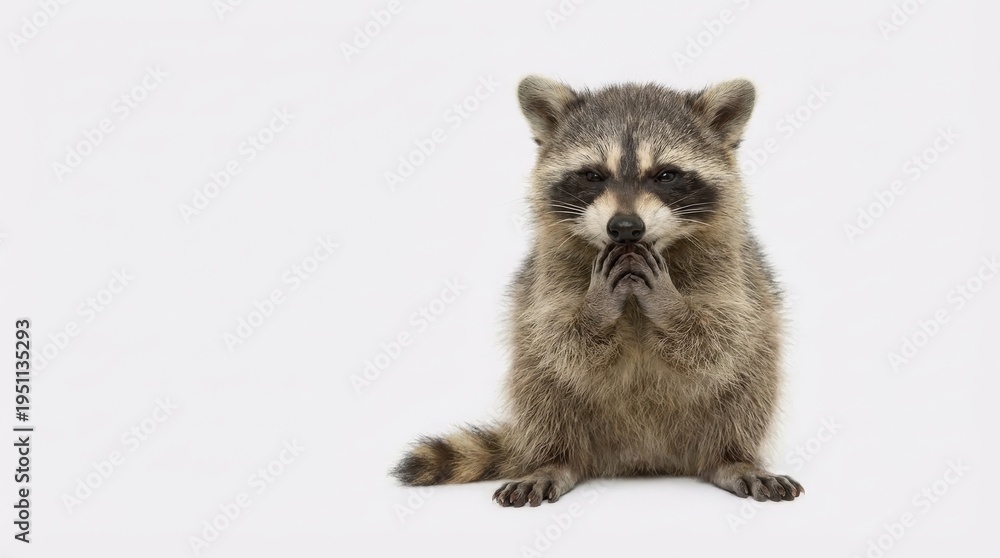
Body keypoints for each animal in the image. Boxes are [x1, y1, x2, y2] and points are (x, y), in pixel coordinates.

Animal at [391, 75, 803, 506]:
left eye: (665, 175)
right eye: (593, 175)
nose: (625, 227)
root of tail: (645, 458)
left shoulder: (734, 266)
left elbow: (723, 334)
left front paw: (671, 308)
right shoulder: (547, 269)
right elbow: (557, 334)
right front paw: (596, 309)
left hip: (748, 376)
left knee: (747, 385)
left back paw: (731, 457)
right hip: (540, 390)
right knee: (542, 389)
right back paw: (555, 460)